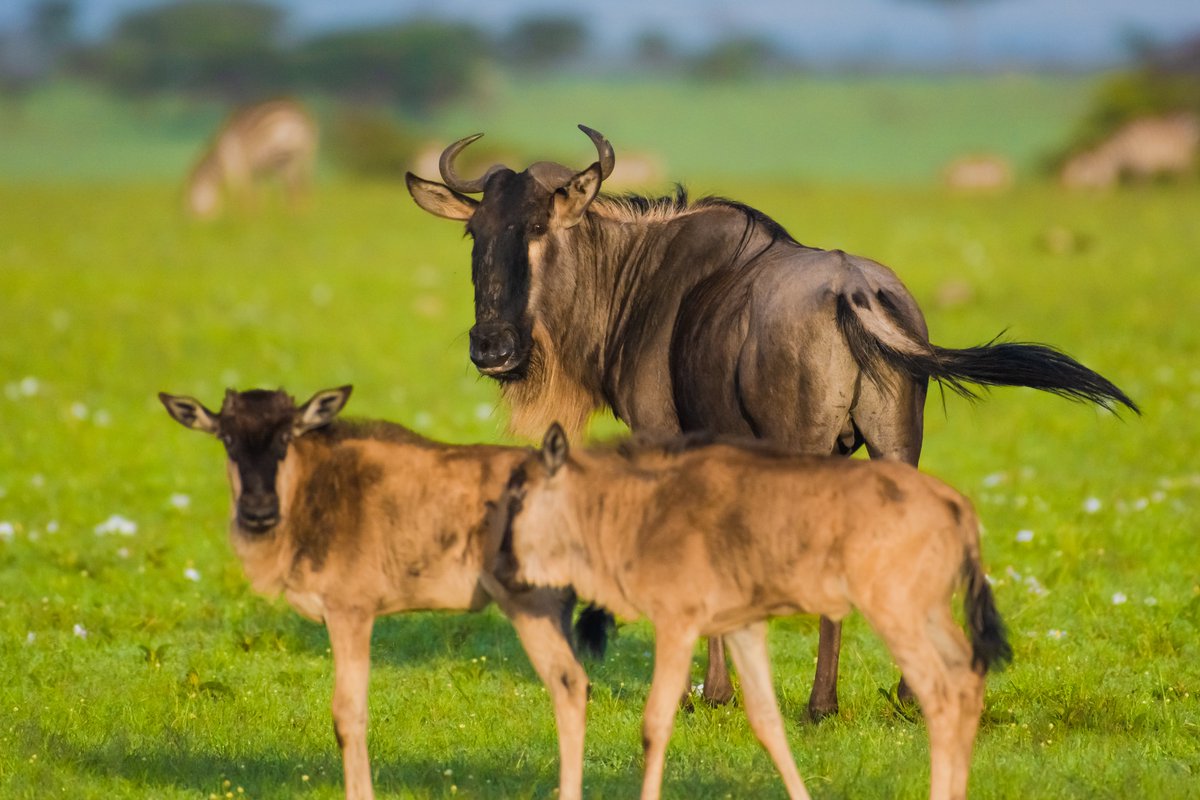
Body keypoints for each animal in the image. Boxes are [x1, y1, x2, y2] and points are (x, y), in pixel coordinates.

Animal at [159, 388, 590, 800]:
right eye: (227, 438)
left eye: (285, 437)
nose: (258, 512)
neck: (311, 490)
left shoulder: (350, 612)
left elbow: (348, 712)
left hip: (530, 605)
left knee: (568, 683)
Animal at [492, 429, 1008, 800]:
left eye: (518, 498)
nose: (501, 572)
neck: (642, 507)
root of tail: (956, 505)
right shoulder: (741, 627)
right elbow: (767, 722)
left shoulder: (677, 624)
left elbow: (655, 724)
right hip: (929, 615)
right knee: (967, 678)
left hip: (896, 614)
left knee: (939, 694)